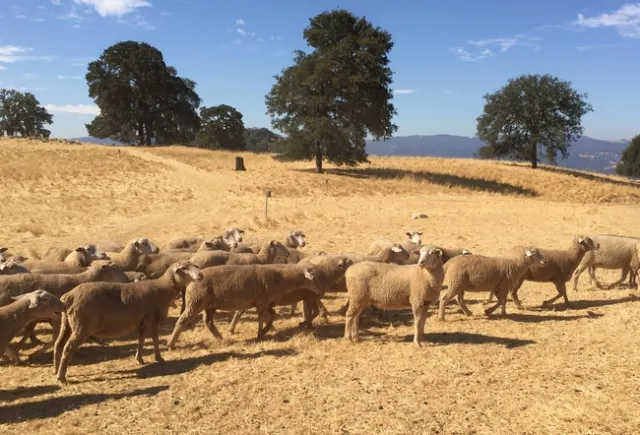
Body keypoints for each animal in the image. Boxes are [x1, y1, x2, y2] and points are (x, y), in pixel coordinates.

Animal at [53, 261, 204, 383]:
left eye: (193, 265)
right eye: (183, 268)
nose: (200, 275)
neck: (164, 288)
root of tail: (68, 296)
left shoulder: (142, 321)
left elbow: (141, 339)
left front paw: (139, 359)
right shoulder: (153, 318)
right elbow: (155, 339)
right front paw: (159, 358)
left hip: (66, 324)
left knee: (58, 344)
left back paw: (56, 370)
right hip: (81, 326)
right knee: (68, 348)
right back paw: (62, 377)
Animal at [167, 263, 322, 348]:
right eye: (312, 277)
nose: (320, 292)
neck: (280, 279)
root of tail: (190, 281)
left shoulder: (265, 303)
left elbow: (272, 316)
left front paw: (265, 331)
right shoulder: (262, 303)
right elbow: (261, 319)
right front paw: (259, 335)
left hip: (209, 305)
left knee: (208, 321)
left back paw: (220, 338)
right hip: (195, 302)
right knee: (182, 321)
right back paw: (171, 344)